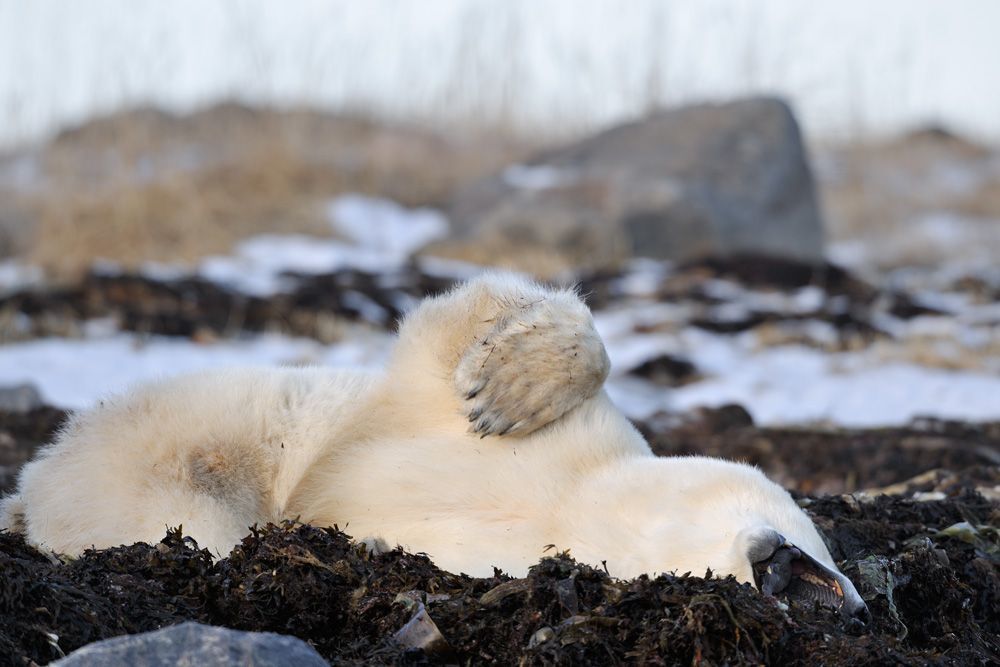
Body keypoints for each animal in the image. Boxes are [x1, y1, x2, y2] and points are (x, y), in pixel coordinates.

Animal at [0, 272, 867, 620]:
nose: (780, 569)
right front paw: (505, 389)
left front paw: (364, 544)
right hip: (158, 439)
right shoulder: (440, 408)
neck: (579, 501)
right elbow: (463, 316)